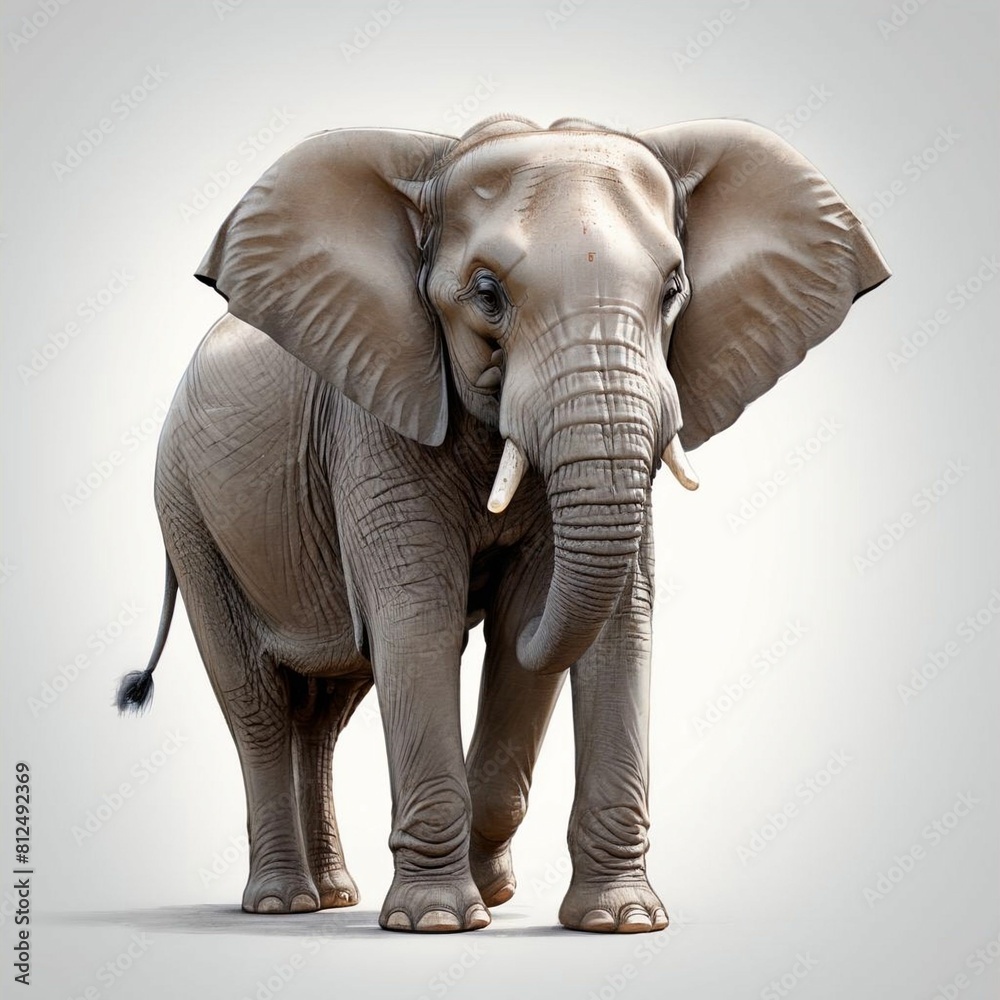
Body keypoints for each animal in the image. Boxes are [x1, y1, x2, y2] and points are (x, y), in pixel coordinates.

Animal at [117, 114, 888, 934]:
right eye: (487, 294)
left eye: (673, 290)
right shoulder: (375, 412)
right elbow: (417, 619)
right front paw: (437, 921)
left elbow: (588, 622)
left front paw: (609, 919)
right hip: (185, 511)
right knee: (257, 704)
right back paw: (281, 903)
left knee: (325, 713)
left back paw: (334, 897)